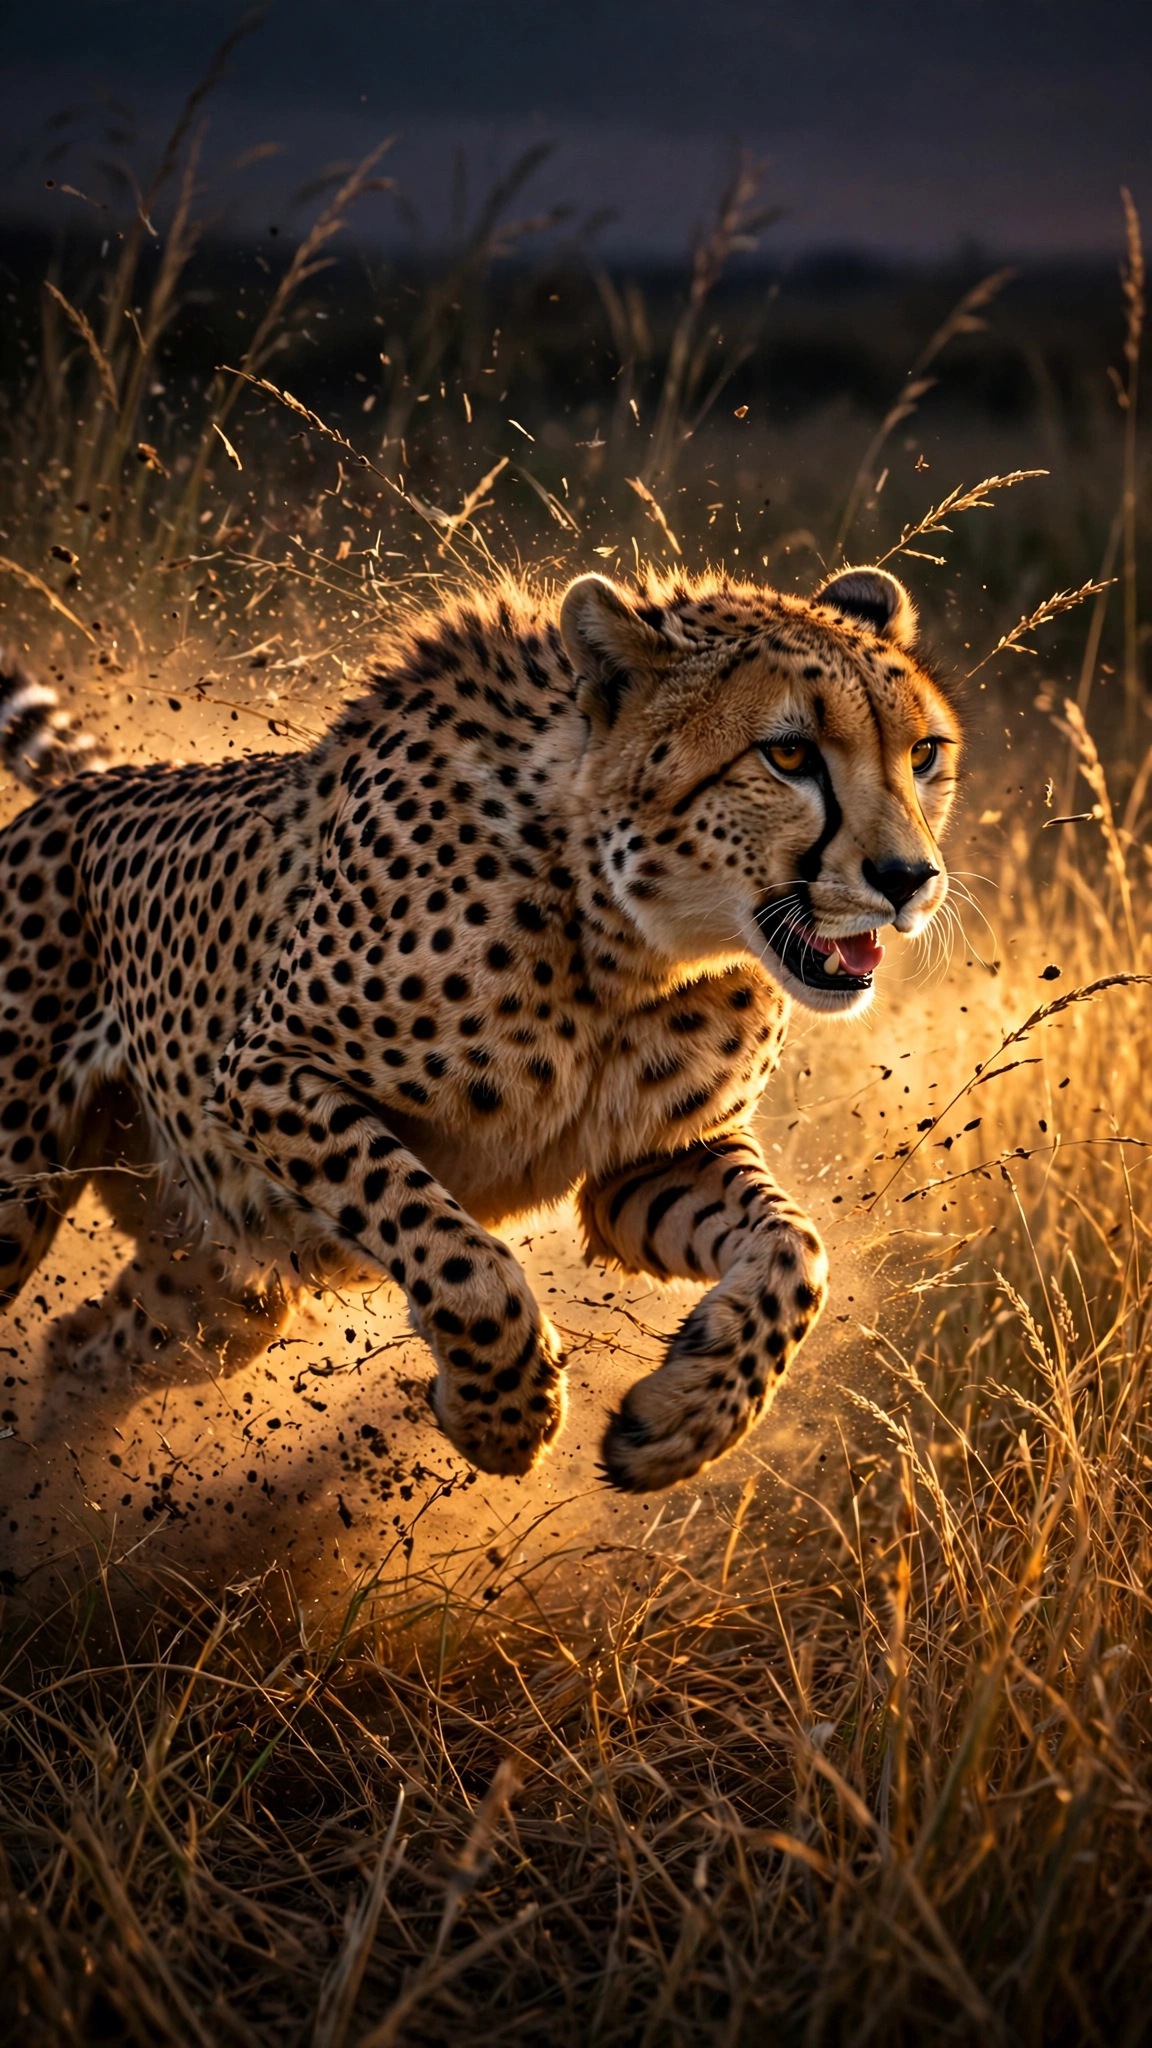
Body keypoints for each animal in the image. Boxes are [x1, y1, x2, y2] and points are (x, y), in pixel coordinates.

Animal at [0, 564, 961, 1492]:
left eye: (923, 754)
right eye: (789, 753)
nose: (909, 878)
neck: (622, 941)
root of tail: (94, 785)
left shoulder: (653, 1160)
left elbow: (797, 1253)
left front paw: (687, 1418)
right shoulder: (264, 1072)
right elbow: (453, 1246)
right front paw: (507, 1413)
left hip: (224, 1293)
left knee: (84, 1350)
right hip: (26, 1185)